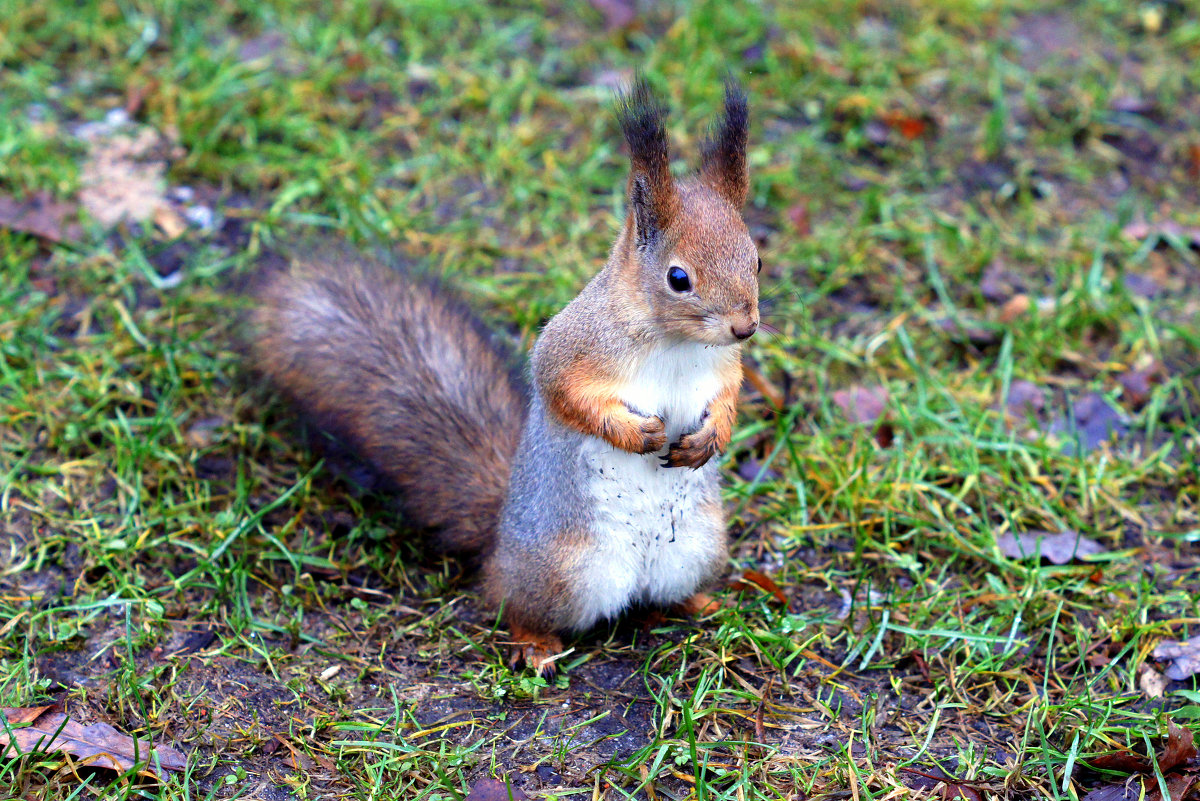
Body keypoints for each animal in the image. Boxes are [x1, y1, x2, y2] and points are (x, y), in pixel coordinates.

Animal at [252, 76, 758, 676]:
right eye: (678, 278)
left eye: (755, 258)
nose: (746, 326)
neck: (678, 343)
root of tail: (499, 546)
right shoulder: (572, 349)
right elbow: (563, 393)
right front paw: (635, 433)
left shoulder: (723, 367)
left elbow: (727, 397)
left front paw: (712, 435)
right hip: (560, 571)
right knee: (512, 604)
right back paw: (535, 645)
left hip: (697, 547)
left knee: (664, 595)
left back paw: (703, 602)